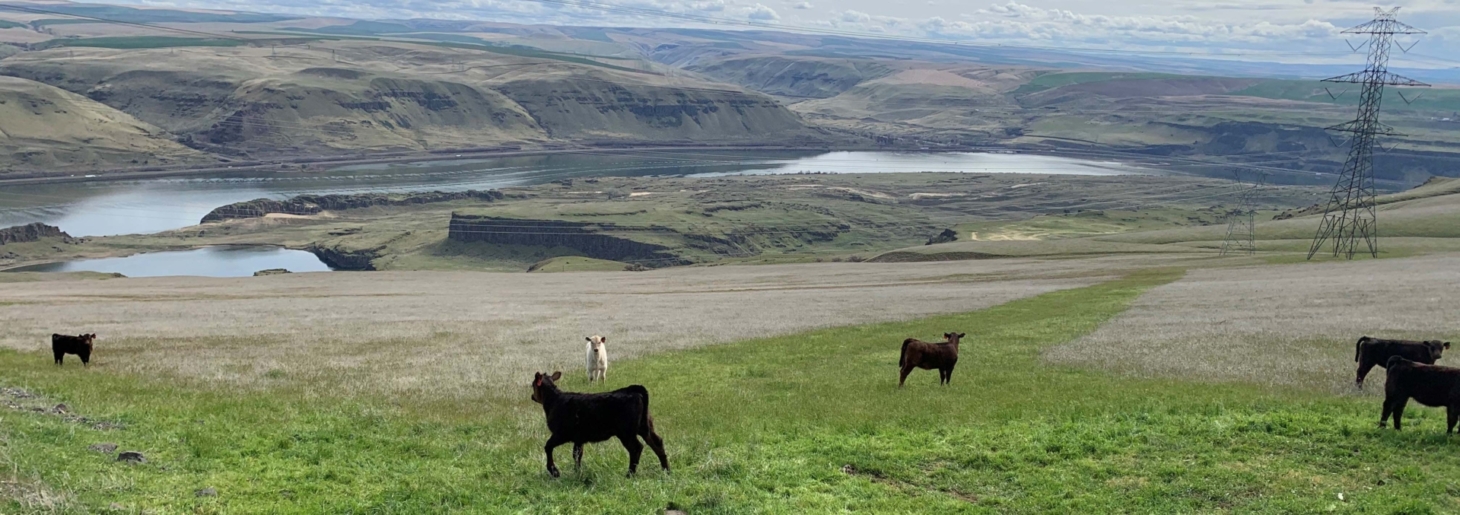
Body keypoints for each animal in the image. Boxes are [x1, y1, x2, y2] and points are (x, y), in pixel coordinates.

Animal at [529, 371, 669, 478]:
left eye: (532, 385)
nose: (532, 396)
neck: (553, 400)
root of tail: (634, 390)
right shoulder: (579, 438)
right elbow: (577, 455)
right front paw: (577, 472)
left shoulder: (560, 434)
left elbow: (548, 447)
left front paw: (554, 471)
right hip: (645, 426)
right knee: (657, 442)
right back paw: (666, 471)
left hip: (626, 432)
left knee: (636, 448)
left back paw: (630, 474)